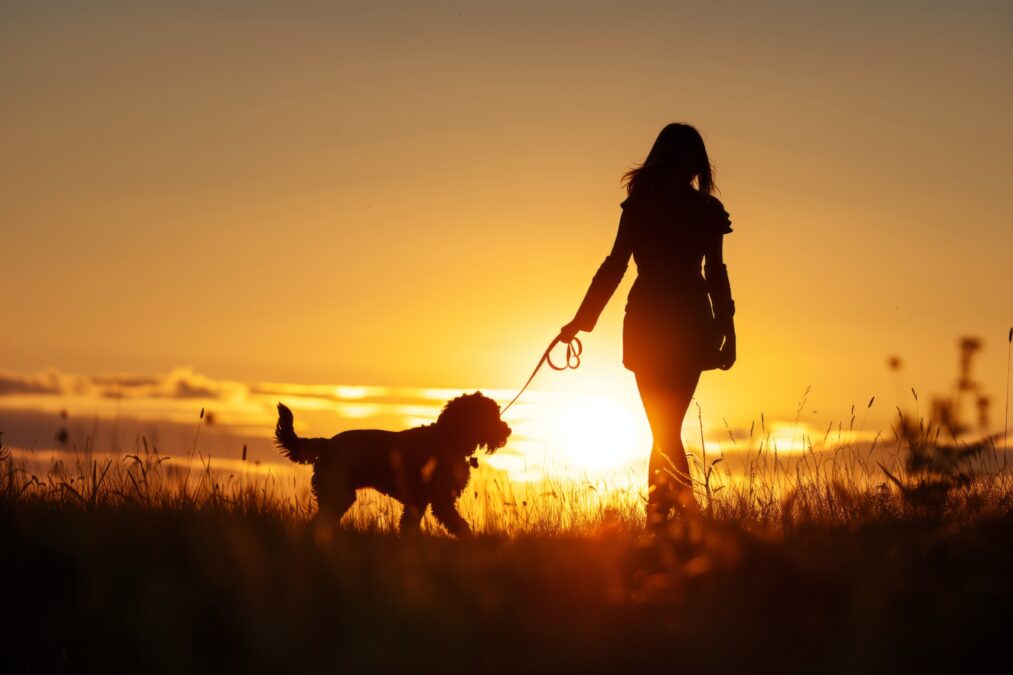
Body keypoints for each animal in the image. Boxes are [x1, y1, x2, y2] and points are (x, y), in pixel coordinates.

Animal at [273, 391, 510, 535]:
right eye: (491, 414)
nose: (507, 430)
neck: (448, 437)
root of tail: (327, 444)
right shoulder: (440, 501)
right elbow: (459, 526)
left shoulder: (419, 502)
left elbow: (409, 527)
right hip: (338, 494)